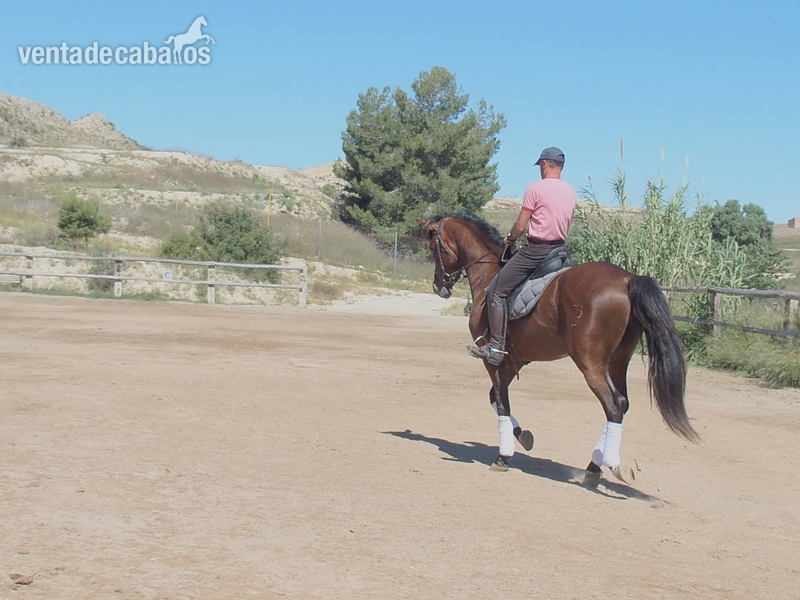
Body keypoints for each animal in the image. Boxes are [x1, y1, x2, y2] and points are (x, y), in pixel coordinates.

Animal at [422, 210, 698, 484]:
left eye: (434, 248)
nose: (439, 286)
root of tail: (627, 279)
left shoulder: (494, 360)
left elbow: (501, 404)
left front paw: (503, 457)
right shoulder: (514, 361)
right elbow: (494, 398)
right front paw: (523, 437)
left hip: (590, 362)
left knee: (614, 405)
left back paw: (609, 466)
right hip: (618, 360)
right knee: (622, 404)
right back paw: (594, 466)